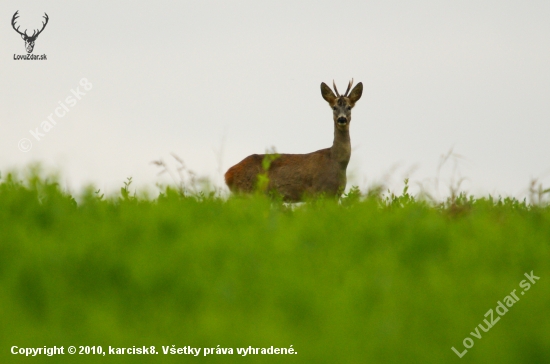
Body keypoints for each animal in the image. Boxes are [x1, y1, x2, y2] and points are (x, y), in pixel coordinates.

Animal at [226, 78, 364, 202]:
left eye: (349, 107)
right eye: (334, 107)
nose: (342, 119)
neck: (336, 162)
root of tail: (228, 174)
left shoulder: (334, 195)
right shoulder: (316, 192)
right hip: (249, 191)